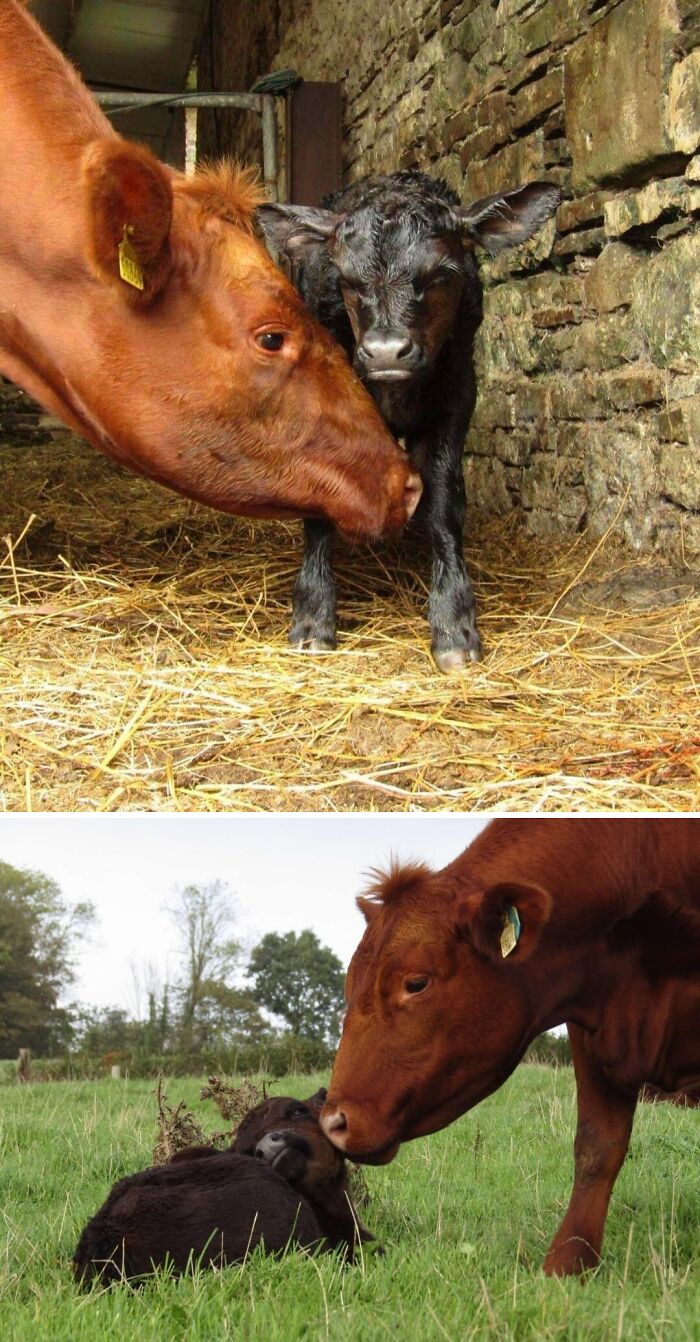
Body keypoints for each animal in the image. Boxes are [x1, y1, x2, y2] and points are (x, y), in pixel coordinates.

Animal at [258, 171, 560, 669]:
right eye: (347, 280)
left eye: (442, 274)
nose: (384, 352)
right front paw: (312, 618)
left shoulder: (455, 398)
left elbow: (444, 504)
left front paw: (454, 623)